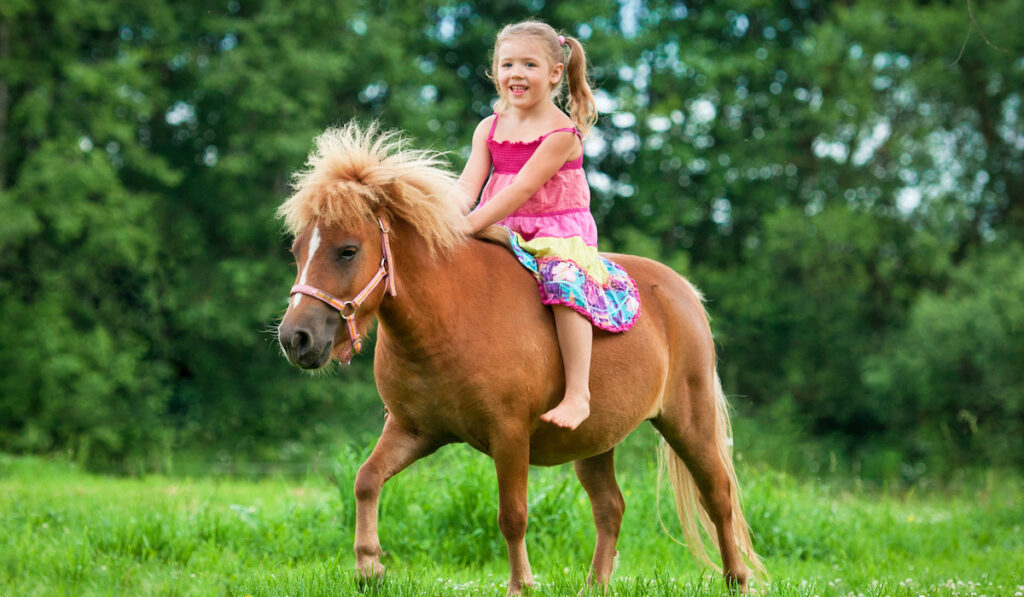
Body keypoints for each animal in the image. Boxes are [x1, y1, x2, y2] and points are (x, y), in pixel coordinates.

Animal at [276, 121, 765, 593]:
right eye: (297, 251)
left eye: (347, 251)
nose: (294, 338)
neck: (448, 318)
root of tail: (683, 292)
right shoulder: (412, 430)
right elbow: (366, 480)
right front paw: (368, 568)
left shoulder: (508, 435)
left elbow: (512, 515)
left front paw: (520, 585)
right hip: (595, 440)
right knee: (611, 507)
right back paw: (595, 586)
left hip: (688, 421)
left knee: (718, 496)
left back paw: (737, 581)